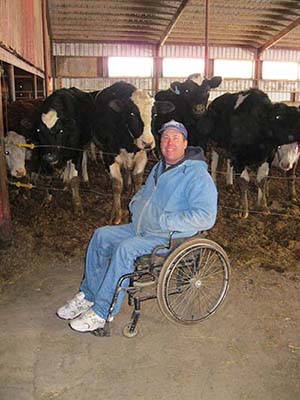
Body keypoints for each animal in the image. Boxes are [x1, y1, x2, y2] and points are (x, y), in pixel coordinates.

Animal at [92, 81, 175, 225]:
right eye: (132, 114)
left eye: (154, 115)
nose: (147, 143)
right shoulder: (110, 157)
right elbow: (117, 185)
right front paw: (117, 215)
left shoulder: (142, 156)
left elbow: (137, 180)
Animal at [200, 88, 300, 219]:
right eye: (282, 117)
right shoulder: (239, 158)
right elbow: (244, 181)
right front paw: (243, 210)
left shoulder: (266, 157)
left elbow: (262, 180)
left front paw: (263, 206)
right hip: (213, 145)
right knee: (214, 165)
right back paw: (214, 182)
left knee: (229, 164)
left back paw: (229, 183)